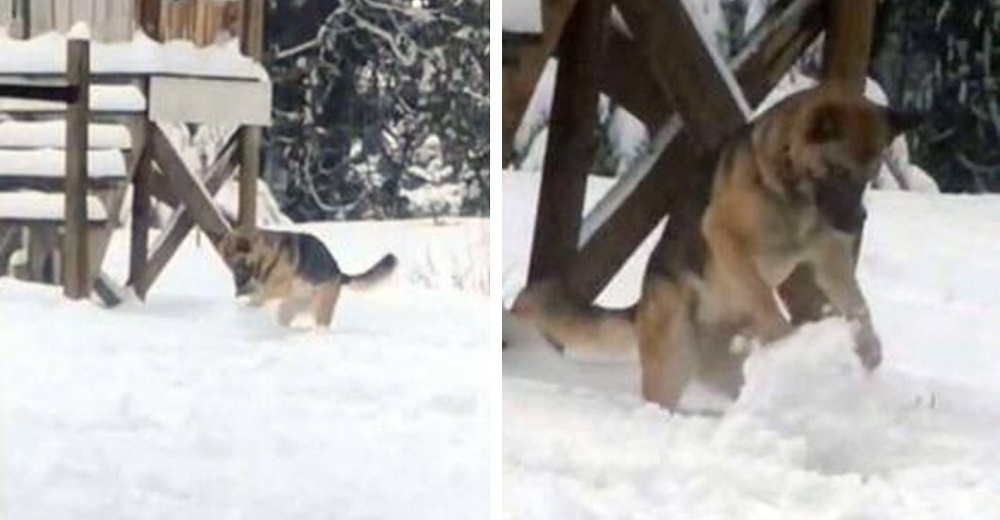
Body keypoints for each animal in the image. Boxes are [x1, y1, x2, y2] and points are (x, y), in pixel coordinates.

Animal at [221, 230, 396, 328]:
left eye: (240, 265)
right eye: (230, 266)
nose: (237, 293)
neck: (269, 255)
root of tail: (339, 273)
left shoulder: (278, 287)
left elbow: (260, 296)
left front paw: (247, 308)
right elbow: (258, 294)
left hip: (321, 309)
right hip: (291, 306)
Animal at [516, 85, 920, 408]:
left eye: (869, 177)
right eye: (840, 171)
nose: (858, 220)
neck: (793, 193)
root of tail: (641, 306)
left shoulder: (829, 259)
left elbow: (858, 305)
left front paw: (868, 349)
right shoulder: (725, 236)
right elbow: (761, 295)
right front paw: (784, 337)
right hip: (672, 361)